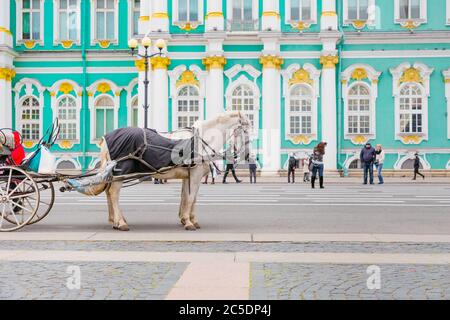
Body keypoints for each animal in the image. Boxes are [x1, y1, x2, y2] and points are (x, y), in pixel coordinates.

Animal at [80, 111, 250, 231]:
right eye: (246, 130)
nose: (247, 155)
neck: (201, 141)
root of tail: (106, 137)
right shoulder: (194, 176)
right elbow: (190, 198)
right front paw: (189, 222)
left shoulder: (188, 176)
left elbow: (187, 198)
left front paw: (187, 219)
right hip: (121, 172)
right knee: (113, 193)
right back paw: (121, 223)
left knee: (108, 193)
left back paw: (114, 220)